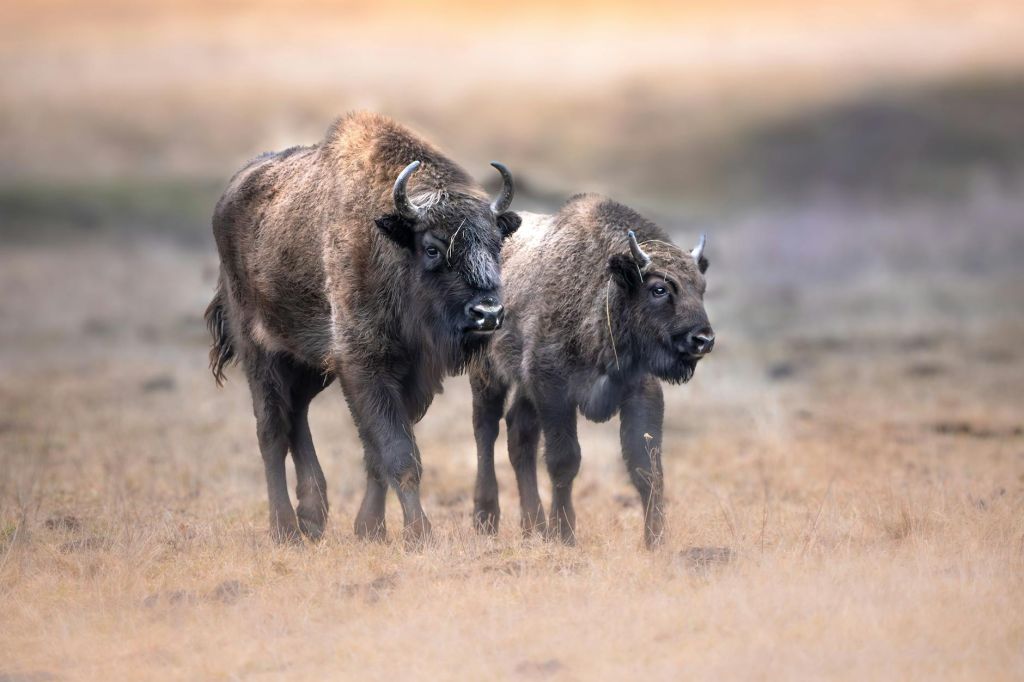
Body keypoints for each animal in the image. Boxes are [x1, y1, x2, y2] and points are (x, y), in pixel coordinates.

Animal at [206, 112, 520, 545]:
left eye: (496, 245)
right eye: (433, 247)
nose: (487, 313)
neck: (391, 246)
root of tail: (230, 195)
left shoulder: (406, 378)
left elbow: (377, 454)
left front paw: (370, 529)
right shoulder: (364, 366)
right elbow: (399, 453)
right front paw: (419, 534)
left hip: (310, 363)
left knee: (296, 414)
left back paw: (312, 518)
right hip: (259, 350)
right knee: (271, 429)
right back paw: (285, 529)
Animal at [469, 194, 713, 548]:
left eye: (701, 287)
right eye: (659, 289)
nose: (703, 339)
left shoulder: (641, 392)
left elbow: (646, 466)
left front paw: (655, 541)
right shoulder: (554, 391)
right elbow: (564, 460)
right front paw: (565, 535)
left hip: (524, 387)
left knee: (519, 435)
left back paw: (533, 526)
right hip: (487, 375)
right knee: (486, 430)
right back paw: (485, 519)